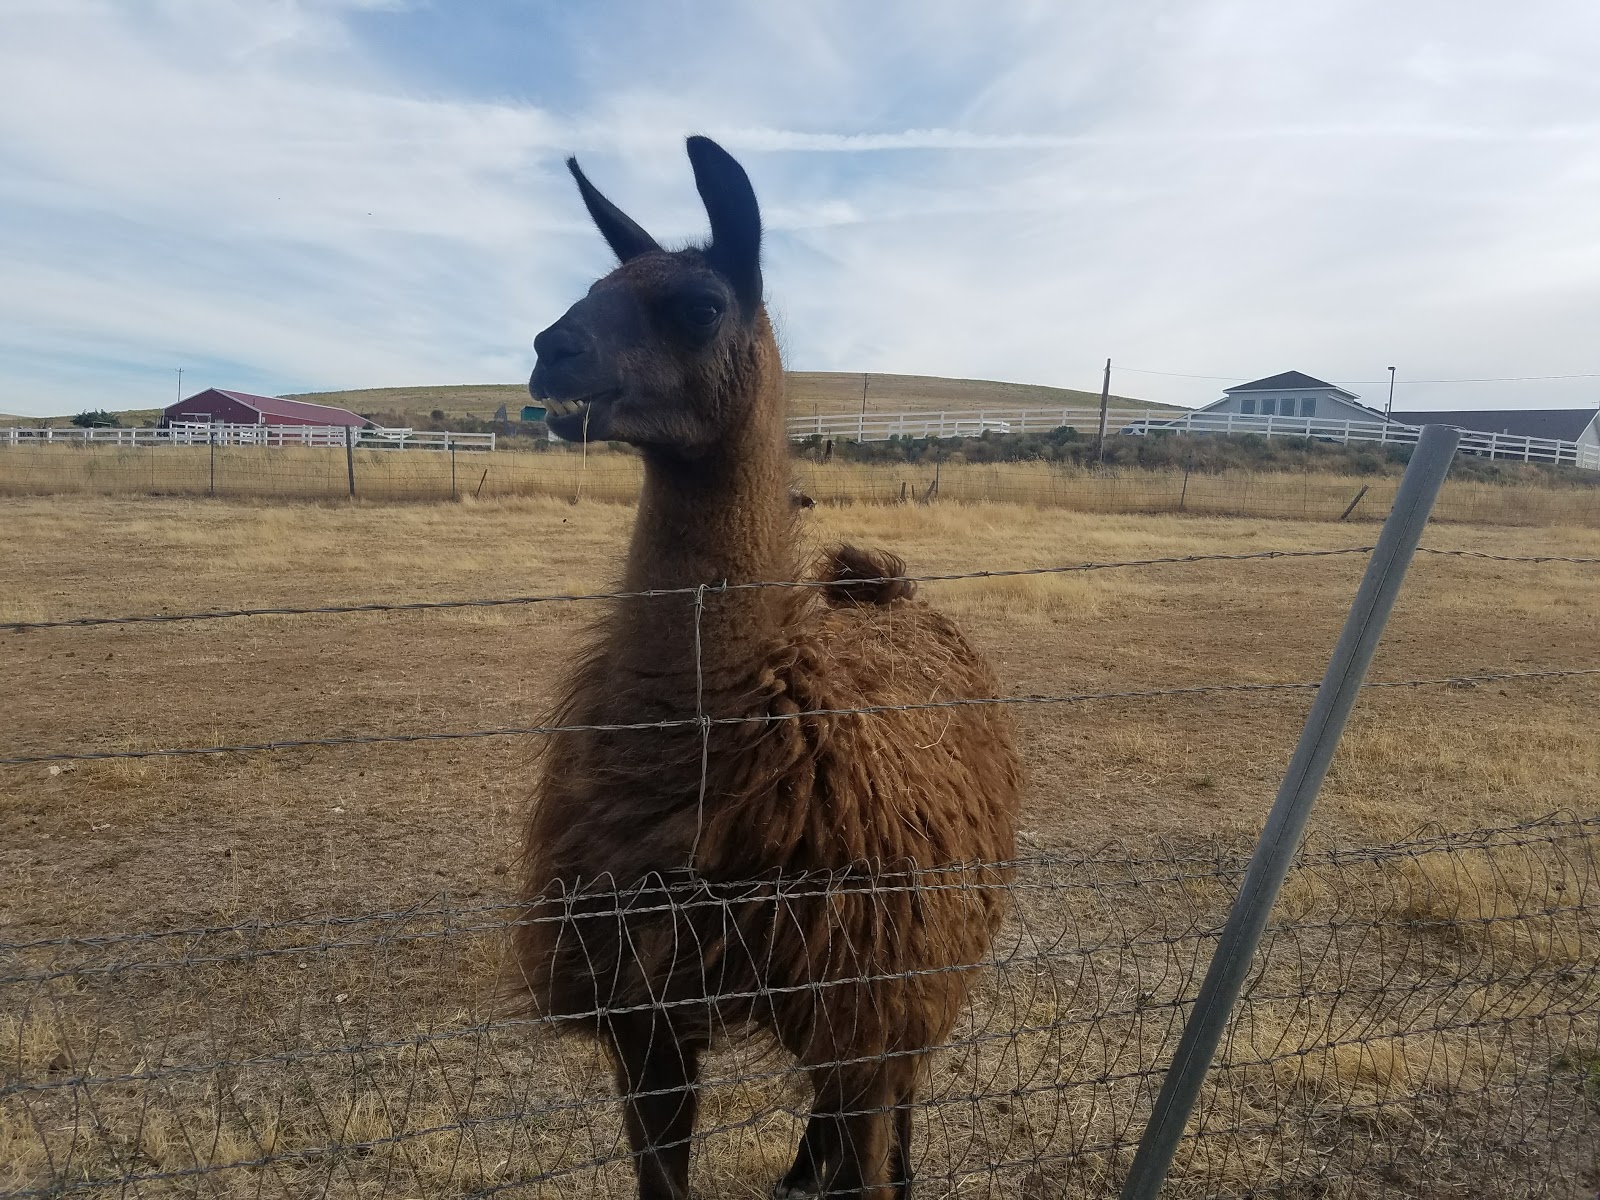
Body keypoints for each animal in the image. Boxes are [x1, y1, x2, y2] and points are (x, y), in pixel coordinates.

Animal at [514, 135, 1021, 1200]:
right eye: (593, 286)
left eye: (703, 305)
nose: (550, 349)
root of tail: (884, 588)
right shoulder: (644, 1014)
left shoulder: (871, 981)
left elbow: (871, 1158)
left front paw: (869, 1175)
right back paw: (800, 1172)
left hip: (921, 960)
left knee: (899, 1088)